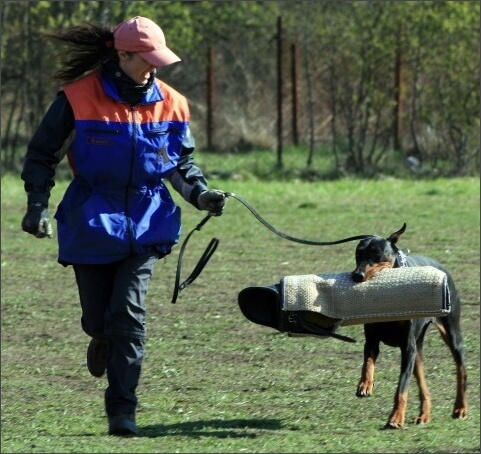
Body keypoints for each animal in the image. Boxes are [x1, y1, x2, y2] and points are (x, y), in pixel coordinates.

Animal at [350, 223, 466, 430]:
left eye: (377, 254)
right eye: (358, 253)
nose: (357, 275)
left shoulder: (407, 347)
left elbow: (401, 387)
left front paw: (396, 418)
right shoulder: (372, 339)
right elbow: (367, 362)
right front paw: (365, 385)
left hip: (451, 334)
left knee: (461, 370)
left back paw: (460, 408)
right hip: (417, 349)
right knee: (423, 382)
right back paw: (424, 415)